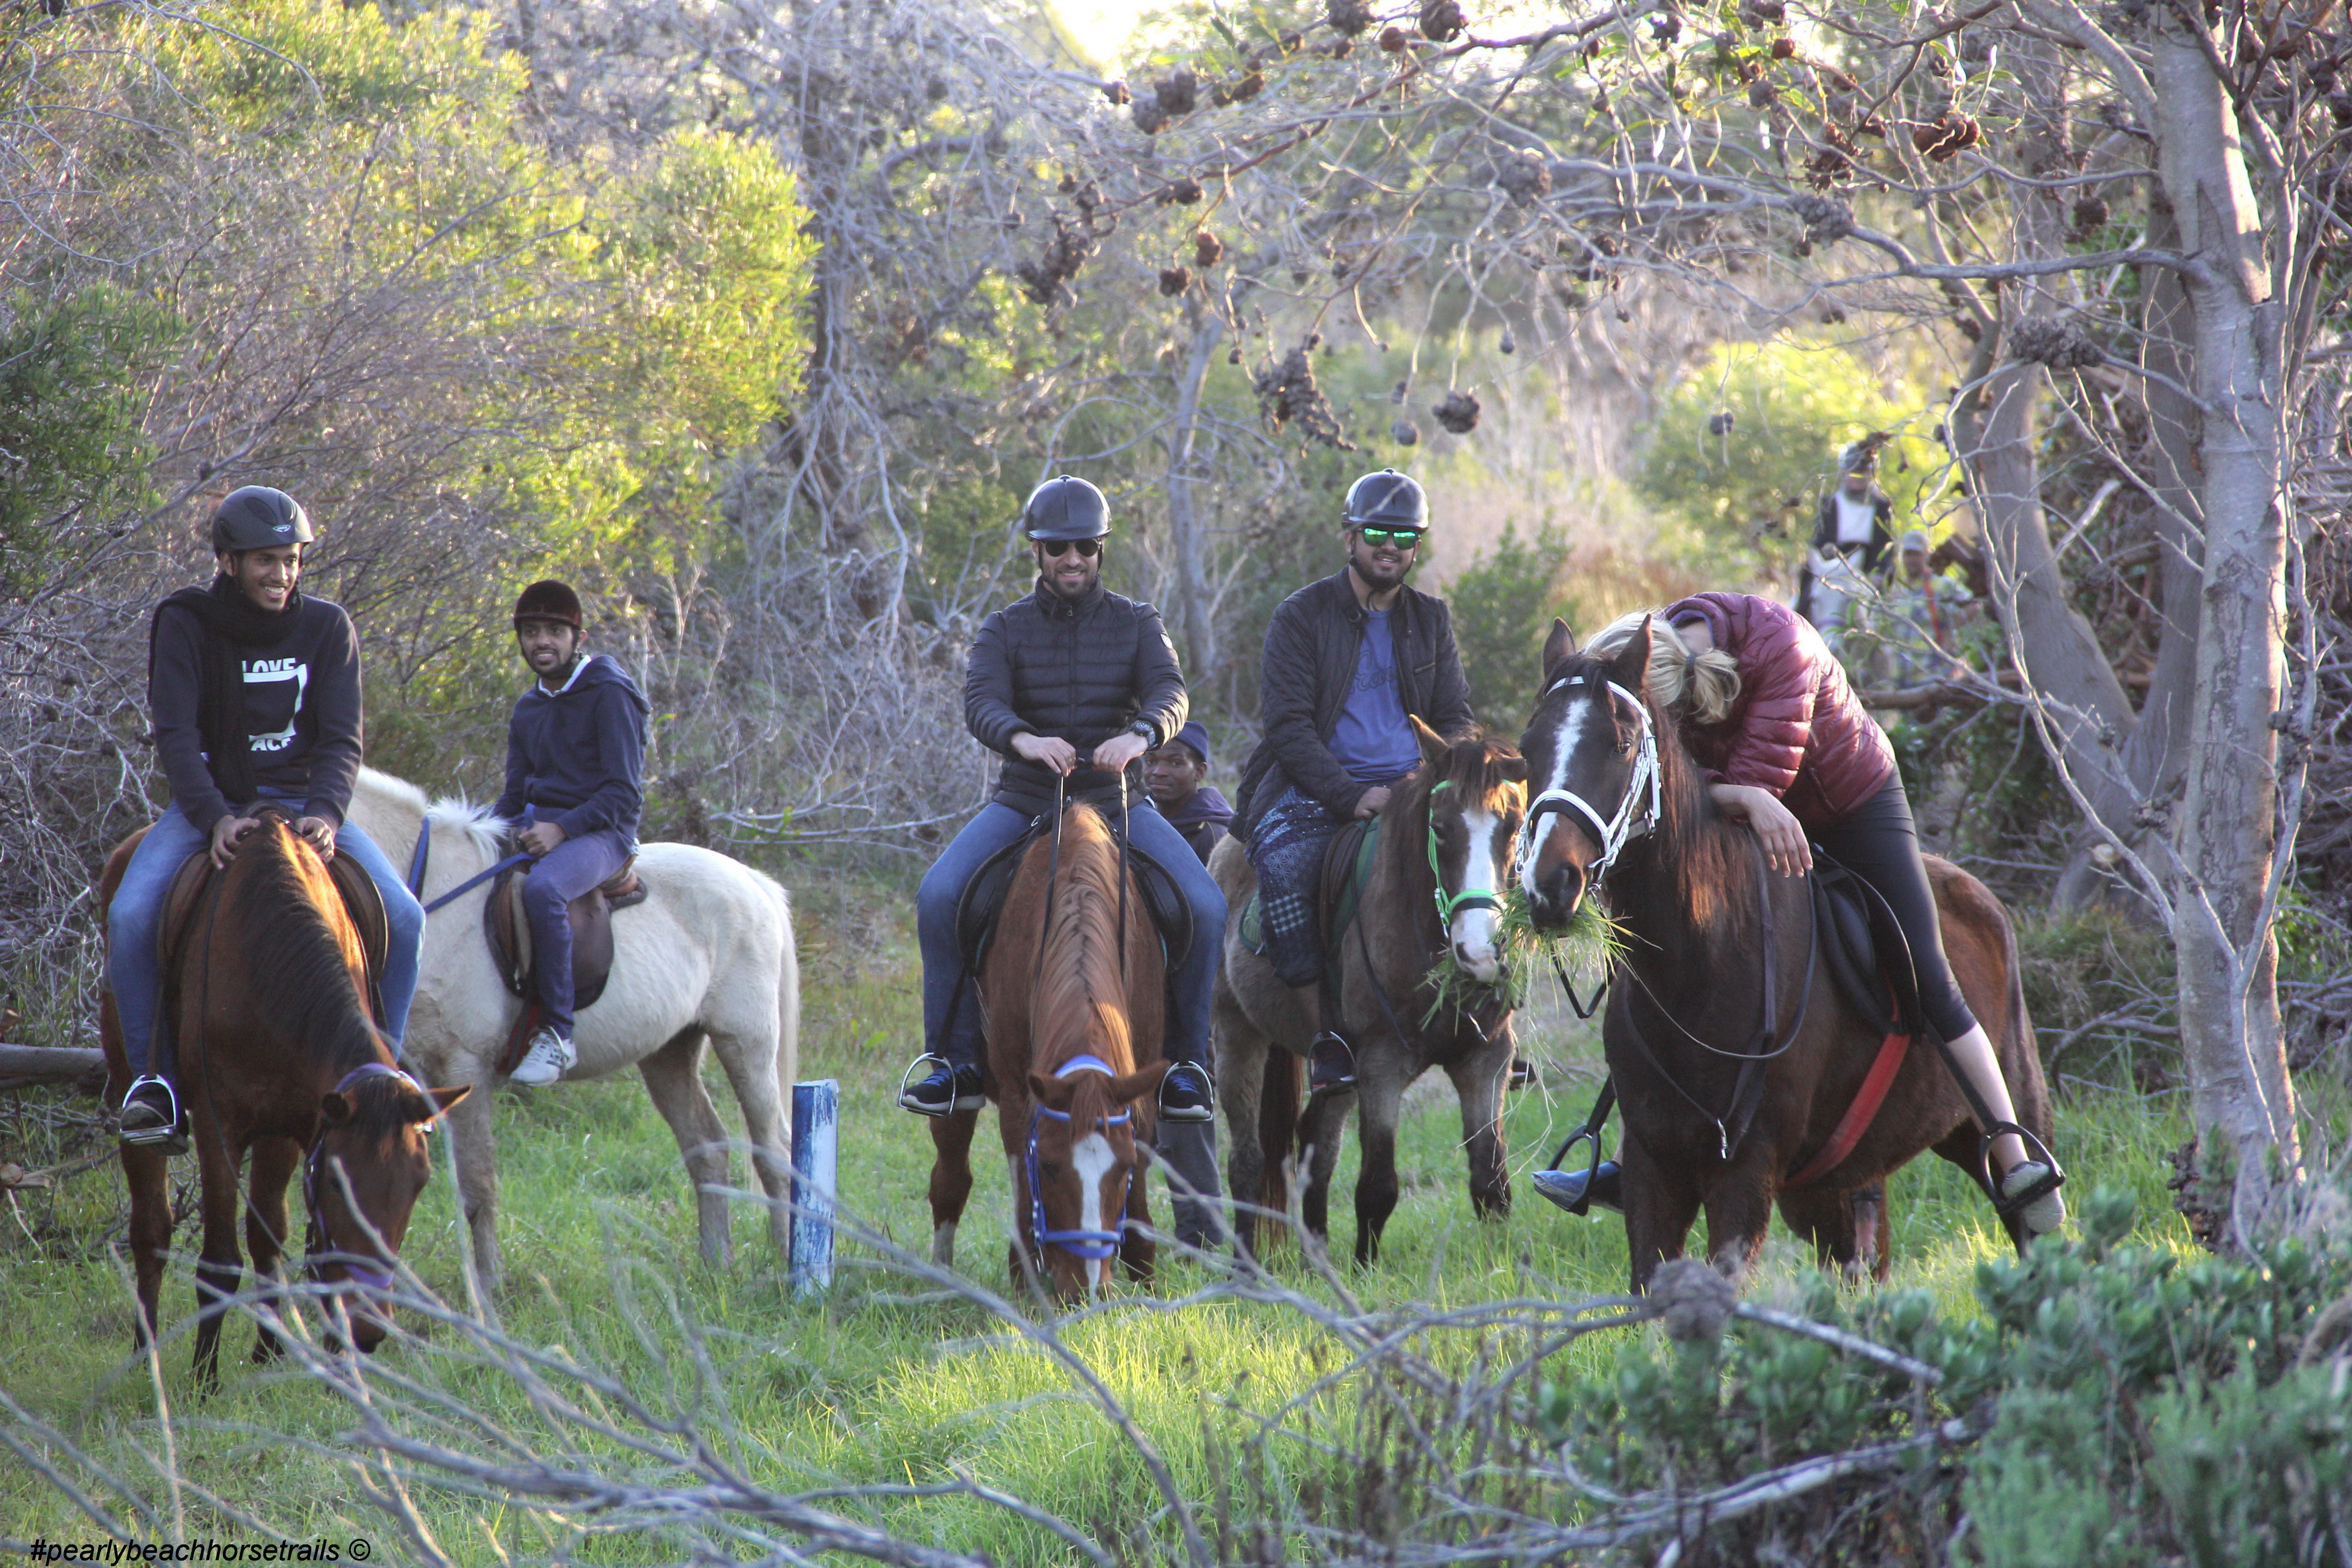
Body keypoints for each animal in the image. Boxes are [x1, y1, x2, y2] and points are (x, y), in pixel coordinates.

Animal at [97, 815, 468, 1387]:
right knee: (150, 1229)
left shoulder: (294, 1123)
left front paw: (272, 1355)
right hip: (126, 1086)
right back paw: (145, 1353)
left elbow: (269, 1238)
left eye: (419, 1183)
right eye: (337, 1182)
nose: (368, 1330)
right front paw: (205, 1379)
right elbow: (221, 1259)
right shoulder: (219, 1128)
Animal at [340, 768, 798, 1293]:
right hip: (669, 1052)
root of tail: (753, 881)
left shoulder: (463, 1066)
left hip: (747, 1042)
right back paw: (714, 1263)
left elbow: (477, 1185)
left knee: (773, 1152)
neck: (430, 893)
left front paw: (488, 1287)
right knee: (707, 1149)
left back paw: (787, 1264)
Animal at [922, 800, 1173, 1303]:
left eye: (1123, 1167)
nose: (1088, 1288)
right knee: (951, 1178)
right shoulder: (1020, 1093)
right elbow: (1021, 1179)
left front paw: (1143, 1272)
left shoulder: (1138, 1088)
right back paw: (942, 1277)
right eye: (1051, 1168)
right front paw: (1027, 1277)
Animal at [1211, 718, 1529, 1264]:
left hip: (1337, 1068)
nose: (1481, 953)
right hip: (1238, 1035)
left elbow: (1491, 1182)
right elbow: (1378, 1185)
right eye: (1439, 828)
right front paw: (1364, 1268)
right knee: (1247, 1161)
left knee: (1317, 1138)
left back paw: (1315, 1255)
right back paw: (1246, 1265)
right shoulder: (1381, 1064)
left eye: (1512, 826)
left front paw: (1500, 1263)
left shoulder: (1485, 1058)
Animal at [1515, 618, 2051, 1289]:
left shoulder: (1744, 1175)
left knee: (2027, 1218)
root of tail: (1981, 899)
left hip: (2003, 1120)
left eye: (1620, 744)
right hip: (1829, 1188)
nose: (1549, 882)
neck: (1696, 968)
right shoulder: (1651, 1169)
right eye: (1527, 749)